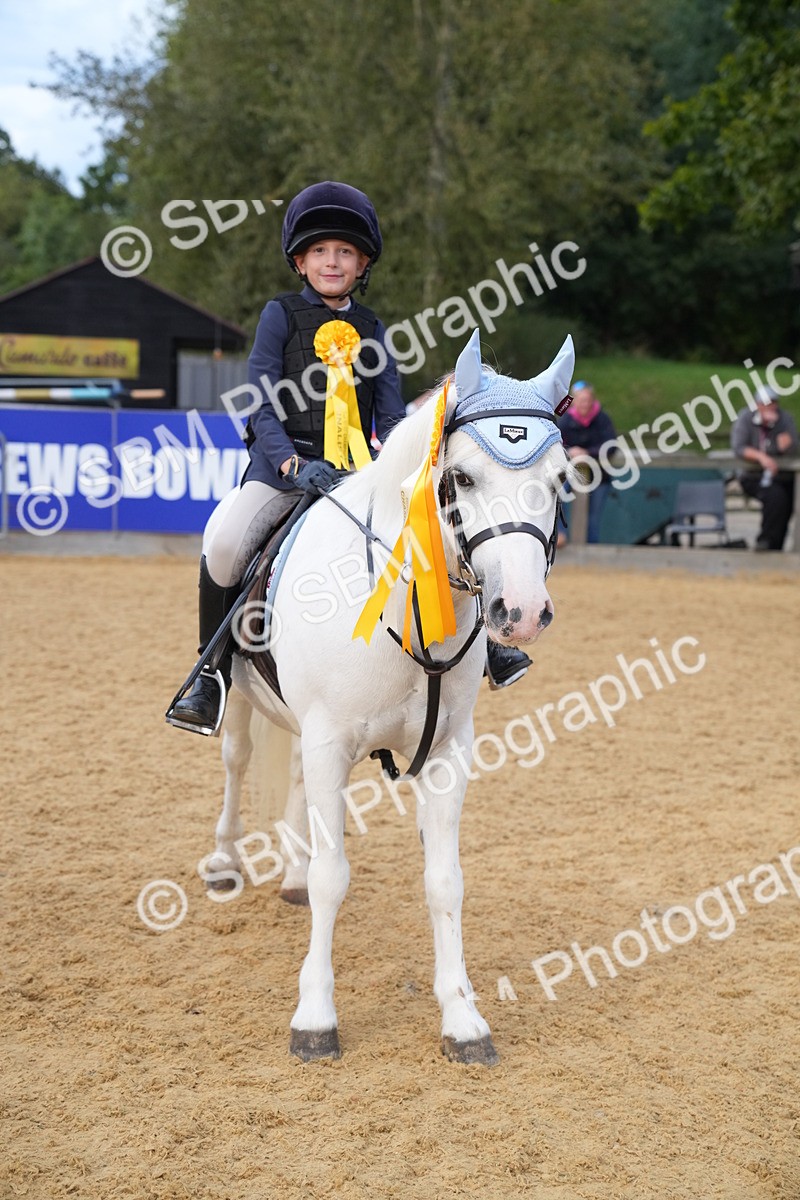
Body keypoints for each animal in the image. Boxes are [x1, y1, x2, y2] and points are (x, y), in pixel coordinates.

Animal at [199, 328, 574, 1065]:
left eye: (557, 482)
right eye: (462, 478)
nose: (521, 613)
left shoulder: (447, 754)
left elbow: (444, 882)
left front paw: (463, 1019)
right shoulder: (330, 742)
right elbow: (334, 878)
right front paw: (315, 1019)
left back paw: (288, 873)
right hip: (245, 698)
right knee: (234, 761)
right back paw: (226, 862)